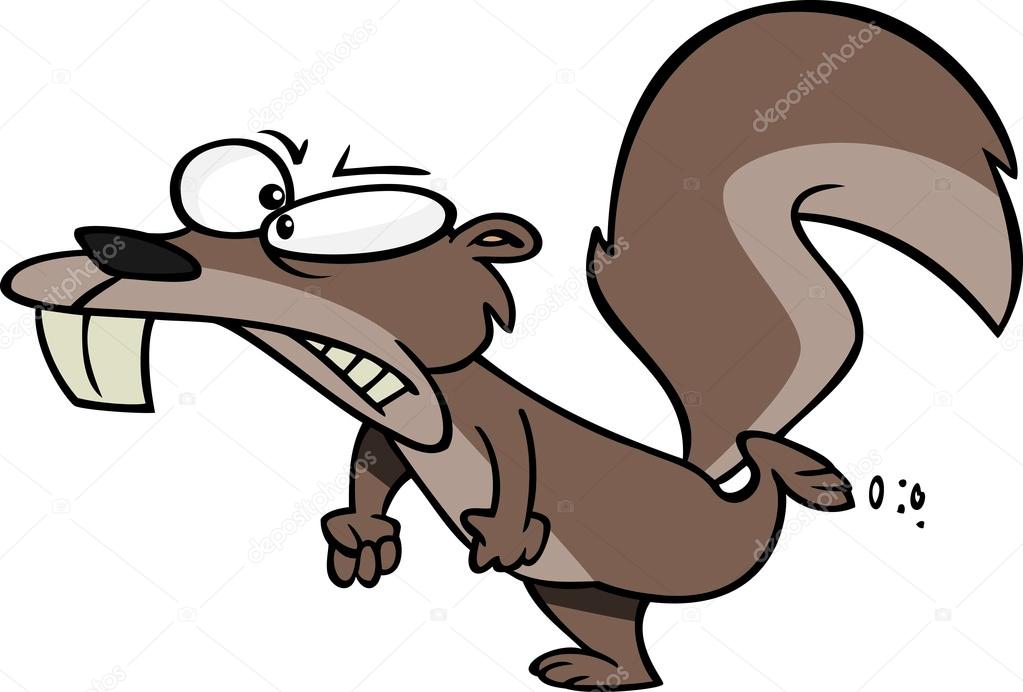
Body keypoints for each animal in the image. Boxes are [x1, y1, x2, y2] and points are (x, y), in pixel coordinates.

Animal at [2, 2, 1018, 689]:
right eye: (252, 197)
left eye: (294, 231)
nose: (117, 249)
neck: (426, 392)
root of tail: (714, 489)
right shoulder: (396, 432)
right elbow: (371, 466)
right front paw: (361, 536)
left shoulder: (497, 424)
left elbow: (521, 462)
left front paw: (494, 530)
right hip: (582, 594)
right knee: (632, 651)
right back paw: (592, 667)